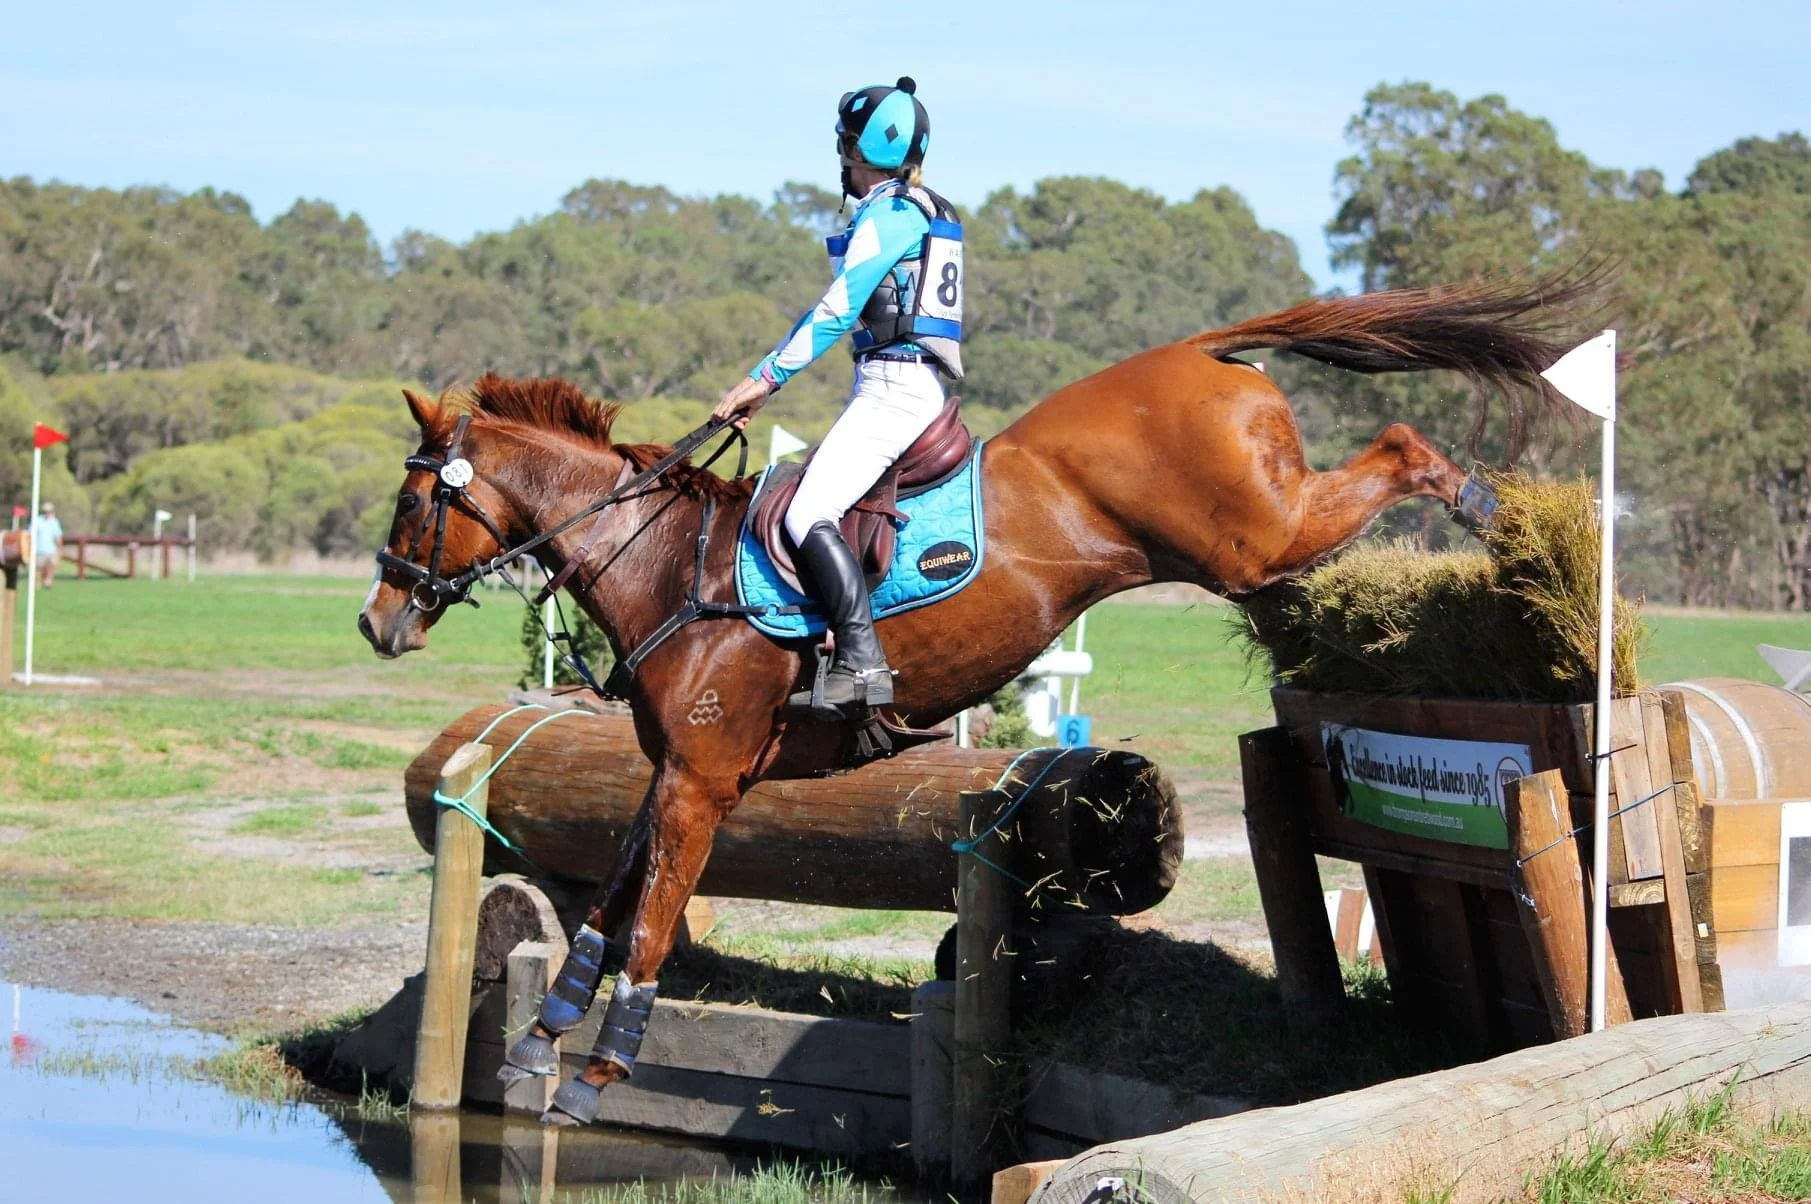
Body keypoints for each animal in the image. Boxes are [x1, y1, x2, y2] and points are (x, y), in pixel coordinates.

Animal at [358, 278, 1588, 1125]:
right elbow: (610, 901)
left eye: (414, 500)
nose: (377, 622)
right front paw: (542, 1038)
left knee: (1402, 444)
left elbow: (652, 915)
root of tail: (1193, 350)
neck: (665, 566)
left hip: (1257, 535)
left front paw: (599, 1071)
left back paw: (1498, 516)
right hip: (1256, 549)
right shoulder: (672, 774)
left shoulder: (701, 783)